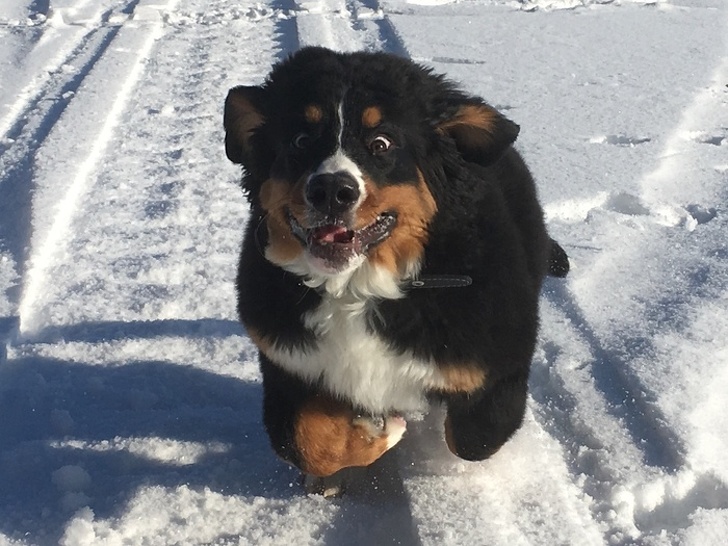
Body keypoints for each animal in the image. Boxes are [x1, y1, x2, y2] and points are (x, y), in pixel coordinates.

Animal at [222, 46, 568, 496]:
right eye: (300, 139)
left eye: (381, 143)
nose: (331, 190)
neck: (356, 288)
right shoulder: (288, 360)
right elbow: (300, 438)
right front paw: (373, 434)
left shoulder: (495, 362)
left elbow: (473, 438)